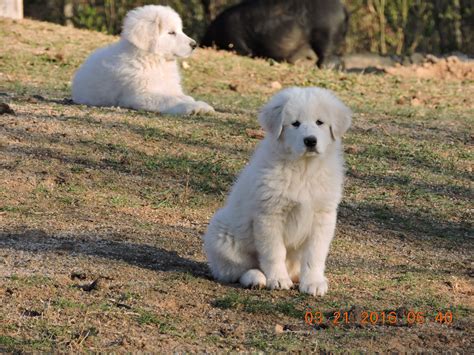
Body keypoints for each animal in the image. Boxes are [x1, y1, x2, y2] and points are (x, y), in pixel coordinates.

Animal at [71, 4, 214, 115]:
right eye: (171, 32)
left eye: (180, 30)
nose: (194, 44)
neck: (155, 61)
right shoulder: (140, 95)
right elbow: (169, 100)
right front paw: (193, 108)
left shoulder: (170, 88)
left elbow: (183, 97)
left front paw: (200, 105)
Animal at [204, 87, 352, 298]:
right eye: (295, 124)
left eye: (319, 122)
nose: (310, 141)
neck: (304, 169)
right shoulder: (269, 214)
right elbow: (274, 252)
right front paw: (279, 280)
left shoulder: (323, 216)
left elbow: (315, 254)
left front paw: (313, 282)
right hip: (221, 232)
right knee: (235, 270)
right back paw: (257, 278)